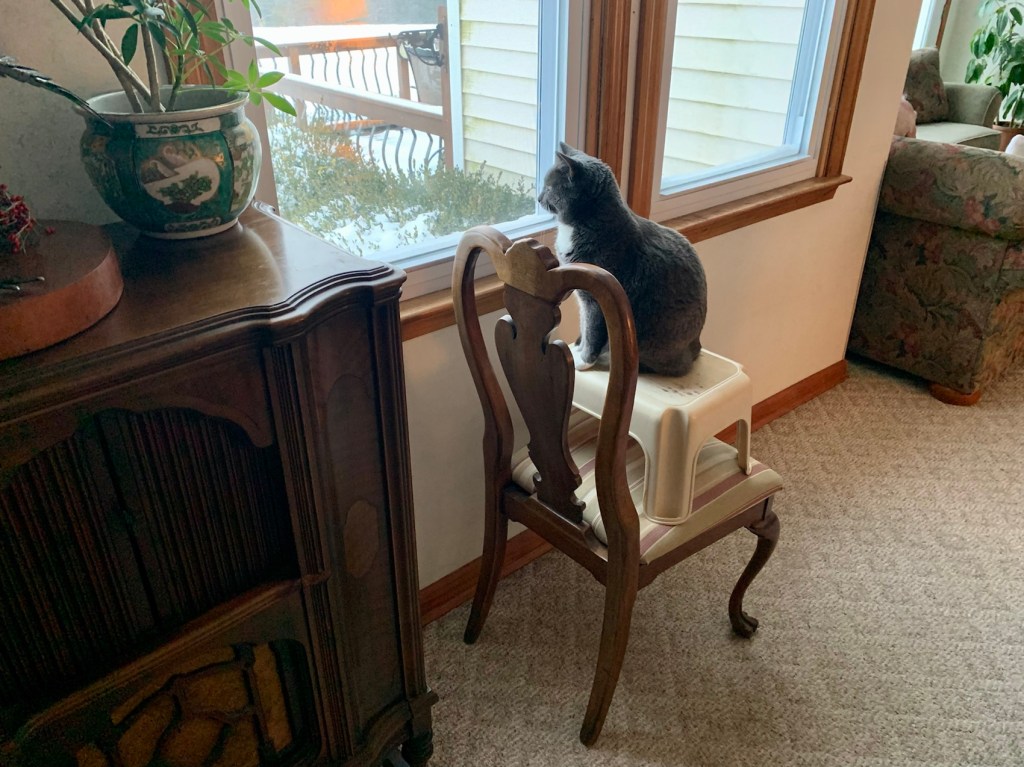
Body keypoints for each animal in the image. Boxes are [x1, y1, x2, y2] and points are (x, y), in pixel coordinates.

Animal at [537, 142, 707, 377]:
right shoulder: (582, 293)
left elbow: (592, 329)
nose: (538, 198)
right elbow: (584, 325)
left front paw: (584, 360)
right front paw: (578, 348)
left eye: (549, 187)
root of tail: (696, 346)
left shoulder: (596, 299)